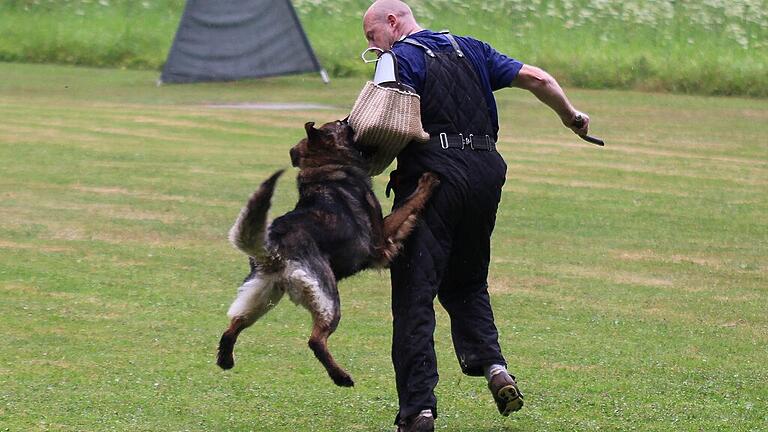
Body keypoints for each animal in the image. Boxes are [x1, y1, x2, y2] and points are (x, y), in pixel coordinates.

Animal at [216, 120, 438, 386]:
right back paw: (341, 376)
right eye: (342, 125)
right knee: (315, 340)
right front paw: (428, 182)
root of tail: (274, 245)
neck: (326, 166)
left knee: (233, 325)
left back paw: (225, 359)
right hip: (327, 297)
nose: (351, 120)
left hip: (262, 296)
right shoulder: (382, 240)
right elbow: (408, 205)